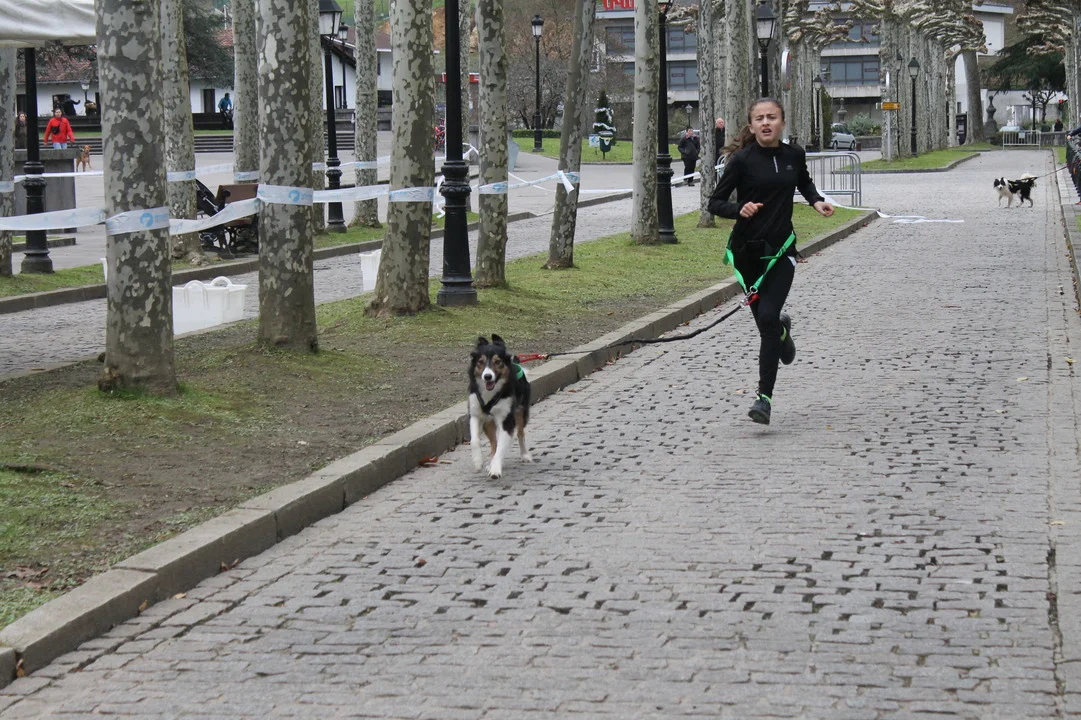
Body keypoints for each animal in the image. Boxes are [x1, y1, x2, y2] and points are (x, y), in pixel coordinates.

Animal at [468, 334, 532, 479]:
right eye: (481, 362)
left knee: (520, 433)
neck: (490, 394)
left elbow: (501, 447)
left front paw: (495, 469)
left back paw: (525, 455)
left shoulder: (506, 420)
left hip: (520, 411)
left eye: (497, 362)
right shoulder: (475, 414)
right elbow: (474, 440)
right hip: (488, 422)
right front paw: (478, 462)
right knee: (493, 443)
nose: (487, 376)